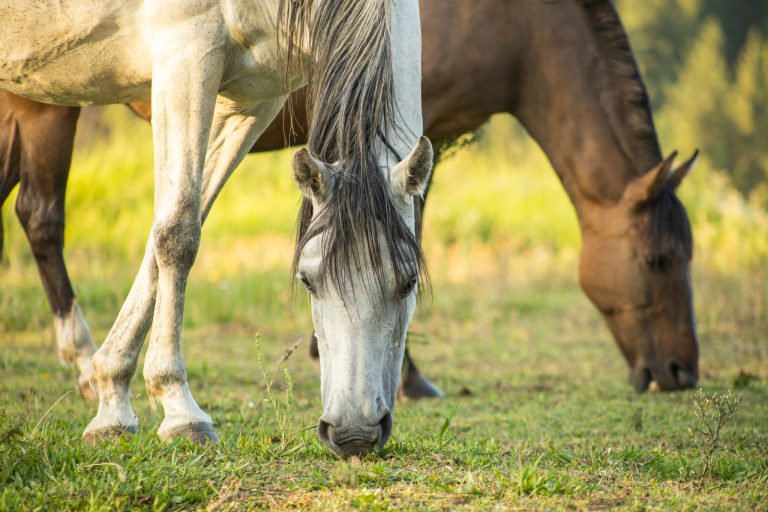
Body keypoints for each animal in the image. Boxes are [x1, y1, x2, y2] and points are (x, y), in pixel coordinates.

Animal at [0, 0, 699, 396]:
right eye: (657, 260)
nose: (682, 373)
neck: (516, 26)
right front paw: (406, 374)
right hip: (46, 103)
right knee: (42, 216)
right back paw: (81, 358)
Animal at [0, 0, 431, 458]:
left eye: (408, 282)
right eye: (307, 280)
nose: (354, 435)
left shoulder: (253, 101)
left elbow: (165, 235)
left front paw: (111, 402)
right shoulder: (184, 56)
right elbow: (177, 233)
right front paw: (179, 409)